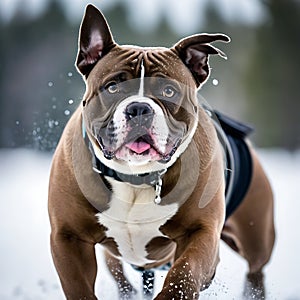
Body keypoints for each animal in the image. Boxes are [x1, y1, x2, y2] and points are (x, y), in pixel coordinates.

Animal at [48, 4, 276, 300]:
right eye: (112, 87)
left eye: (169, 90)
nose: (139, 108)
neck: (136, 177)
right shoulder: (68, 238)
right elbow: (79, 287)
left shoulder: (201, 233)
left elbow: (185, 272)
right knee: (120, 273)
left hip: (257, 237)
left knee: (256, 268)